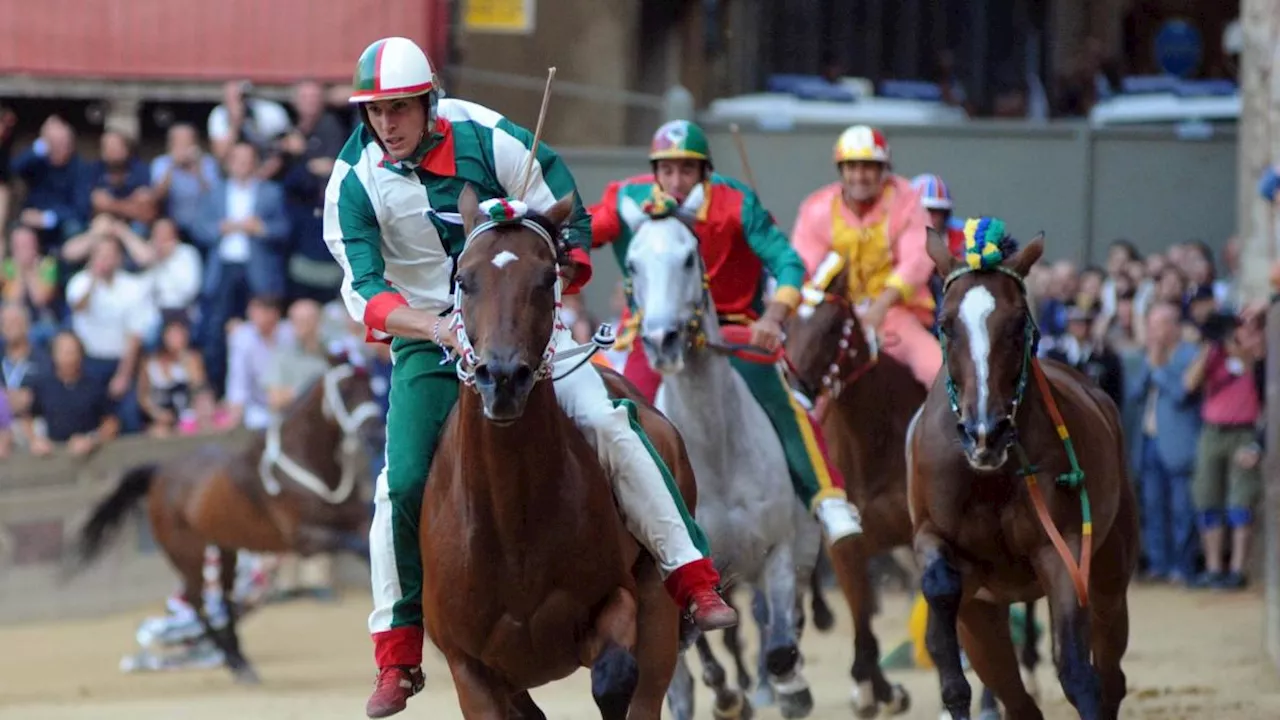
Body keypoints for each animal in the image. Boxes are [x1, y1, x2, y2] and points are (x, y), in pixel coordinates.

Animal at [66, 356, 384, 681]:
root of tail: (161, 473)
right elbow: (359, 548)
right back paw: (232, 660)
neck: (308, 464)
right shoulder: (304, 538)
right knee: (197, 600)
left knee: (226, 597)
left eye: (372, 386)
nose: (376, 435)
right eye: (345, 390)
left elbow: (369, 544)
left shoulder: (356, 521)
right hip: (188, 554)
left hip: (225, 547)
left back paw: (241, 659)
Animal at [614, 184, 814, 717]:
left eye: (688, 257)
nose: (661, 340)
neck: (718, 459)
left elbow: (781, 647)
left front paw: (791, 689)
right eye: (633, 263)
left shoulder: (778, 552)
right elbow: (690, 662)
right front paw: (726, 692)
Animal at [778, 256, 1039, 712]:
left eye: (832, 327)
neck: (873, 438)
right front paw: (874, 688)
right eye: (788, 326)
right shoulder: (849, 544)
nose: (793, 390)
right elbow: (862, 617)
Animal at [911, 225, 1141, 717]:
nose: (986, 433)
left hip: (1111, 570)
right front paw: (952, 684)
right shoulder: (933, 535)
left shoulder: (1063, 547)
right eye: (945, 324)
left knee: (1110, 672)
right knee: (1016, 698)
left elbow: (1077, 671)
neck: (990, 478)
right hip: (984, 616)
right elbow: (940, 585)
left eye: (1018, 324)